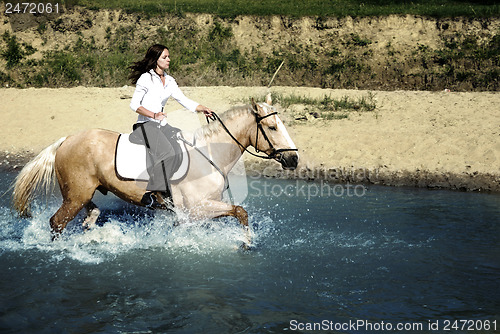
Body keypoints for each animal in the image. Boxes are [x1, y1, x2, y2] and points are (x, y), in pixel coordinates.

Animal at [11, 95, 298, 247]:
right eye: (272, 127)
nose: (294, 159)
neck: (209, 155)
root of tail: (66, 140)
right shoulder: (196, 208)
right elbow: (240, 211)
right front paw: (247, 243)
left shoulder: (196, 211)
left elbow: (235, 213)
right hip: (75, 196)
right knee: (57, 222)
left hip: (82, 194)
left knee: (90, 214)